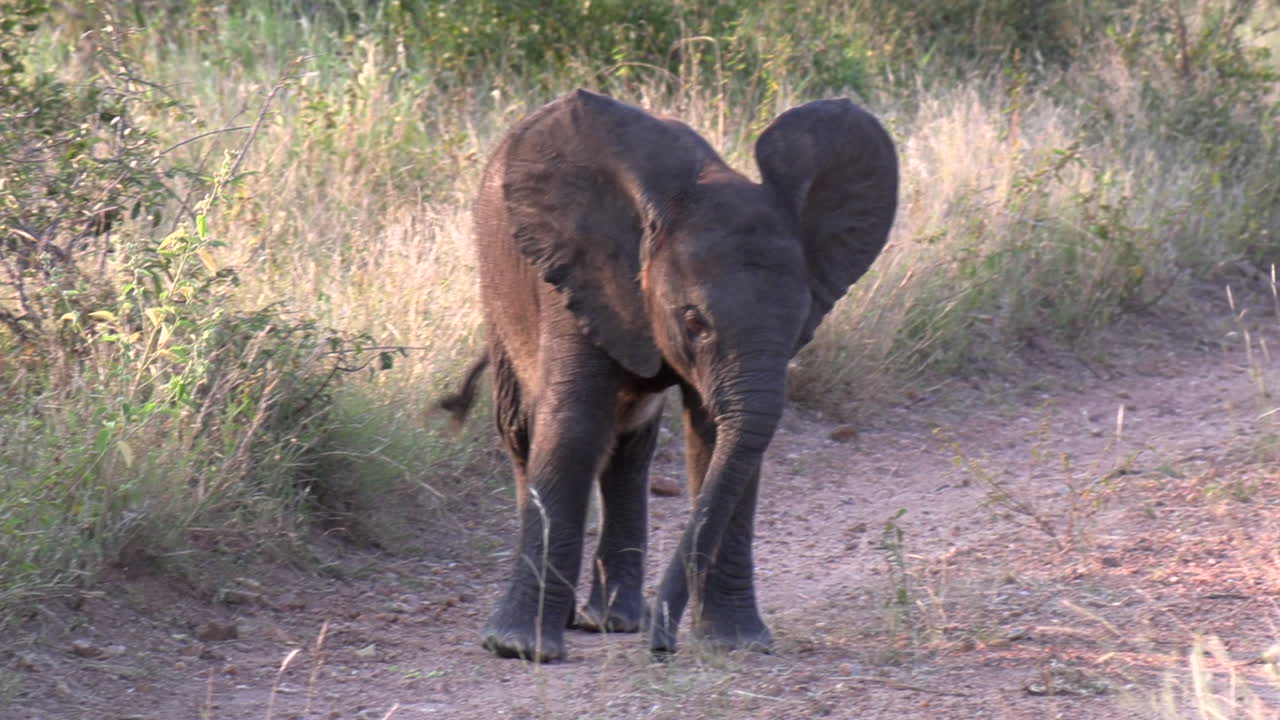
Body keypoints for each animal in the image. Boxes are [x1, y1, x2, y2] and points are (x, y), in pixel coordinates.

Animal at [442, 89, 898, 662]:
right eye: (694, 321)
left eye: (800, 323)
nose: (664, 644)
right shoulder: (579, 282)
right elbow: (572, 427)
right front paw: (519, 651)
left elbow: (718, 437)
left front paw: (736, 644)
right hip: (498, 289)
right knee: (525, 431)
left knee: (629, 447)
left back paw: (613, 621)